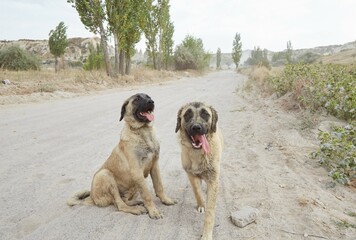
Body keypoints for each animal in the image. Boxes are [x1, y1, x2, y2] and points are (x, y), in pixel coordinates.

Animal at [175, 101, 222, 240]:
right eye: (187, 114)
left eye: (205, 114)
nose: (196, 128)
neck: (198, 154)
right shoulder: (191, 174)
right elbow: (197, 191)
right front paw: (201, 204)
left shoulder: (213, 179)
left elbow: (210, 213)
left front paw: (206, 234)